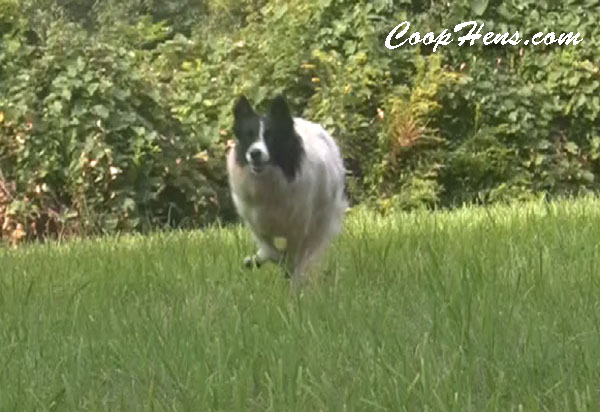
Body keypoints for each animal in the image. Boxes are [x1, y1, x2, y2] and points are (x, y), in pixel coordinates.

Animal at [225, 93, 346, 282]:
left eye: (270, 136)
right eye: (248, 136)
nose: (255, 153)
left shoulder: (298, 228)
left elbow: (292, 257)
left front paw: (291, 274)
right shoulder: (256, 223)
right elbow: (271, 250)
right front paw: (259, 259)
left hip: (322, 219)